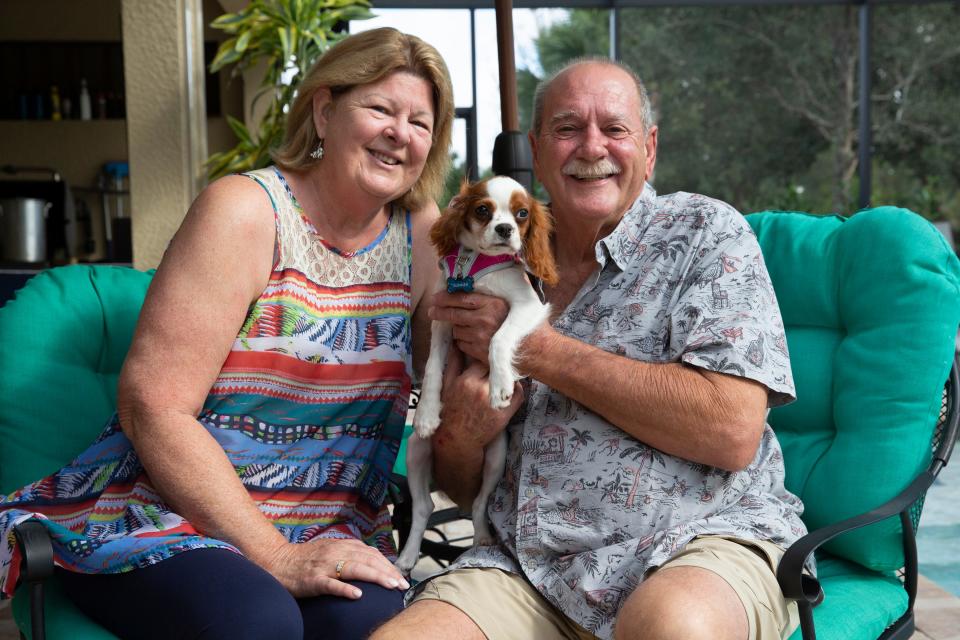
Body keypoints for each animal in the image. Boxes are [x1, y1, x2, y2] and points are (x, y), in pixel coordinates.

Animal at [394, 175, 560, 576]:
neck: (475, 268)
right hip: (416, 453)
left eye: (521, 214)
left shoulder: (527, 306)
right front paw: (427, 413)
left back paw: (482, 537)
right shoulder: (442, 320)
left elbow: (498, 338)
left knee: (481, 505)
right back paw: (407, 556)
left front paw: (500, 386)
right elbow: (433, 369)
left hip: (497, 456)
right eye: (483, 210)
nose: (505, 229)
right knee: (423, 507)